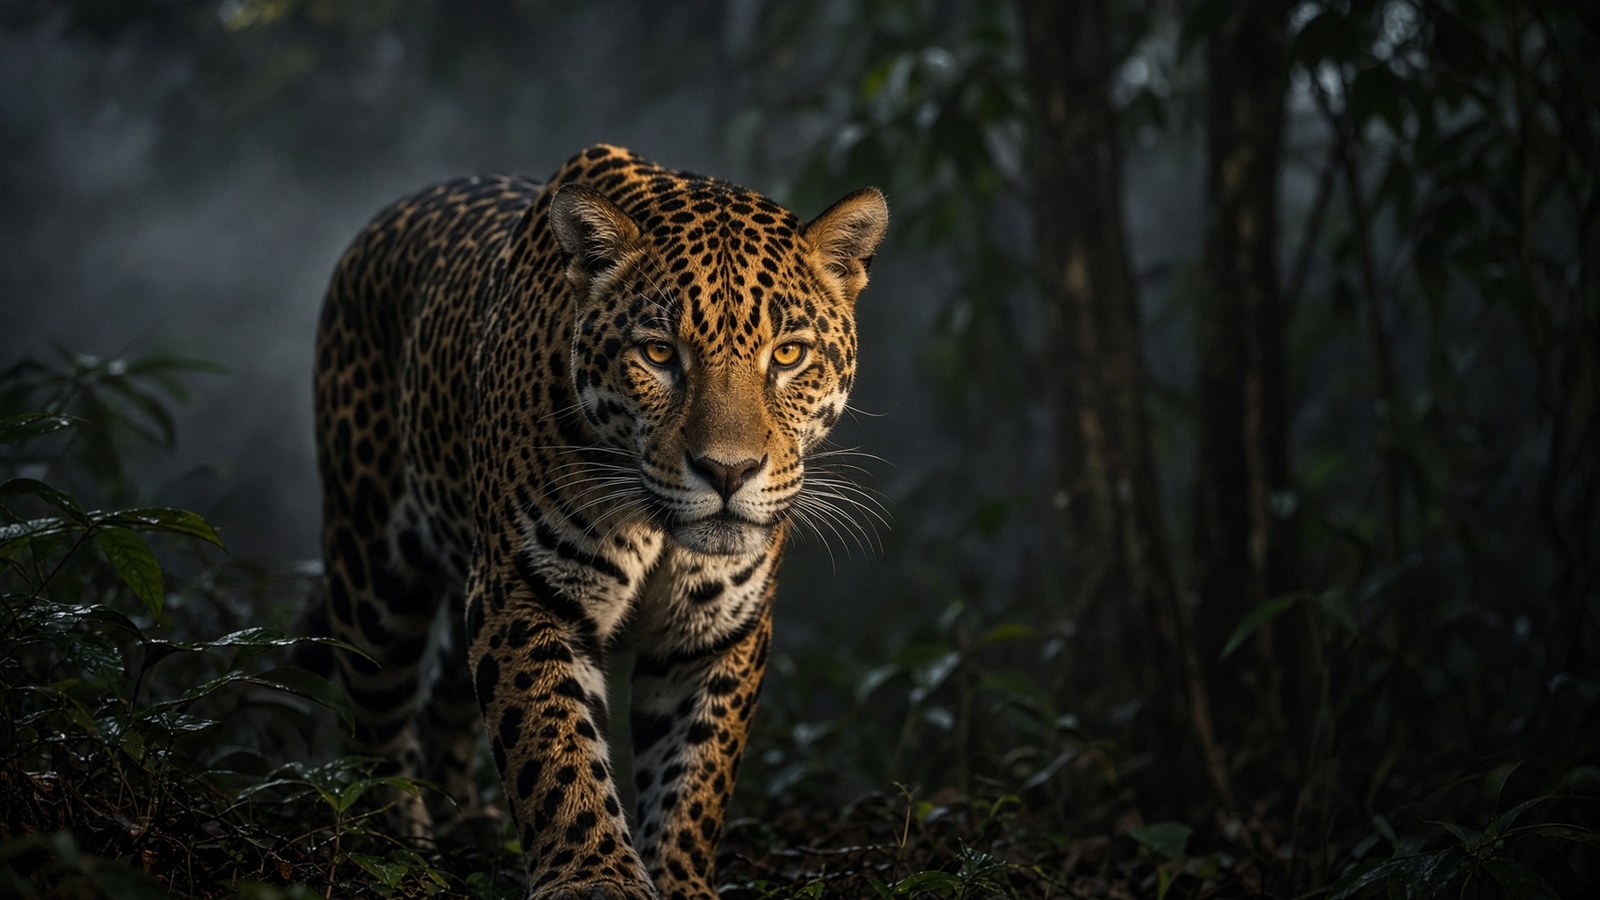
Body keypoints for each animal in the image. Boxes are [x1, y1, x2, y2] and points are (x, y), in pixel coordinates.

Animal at [312, 144, 887, 899]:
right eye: (659, 354)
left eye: (788, 354)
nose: (727, 472)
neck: (658, 530)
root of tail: (382, 221)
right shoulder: (527, 593)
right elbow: (552, 748)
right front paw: (594, 876)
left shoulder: (715, 629)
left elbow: (696, 770)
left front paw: (679, 880)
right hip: (373, 570)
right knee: (375, 714)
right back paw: (394, 847)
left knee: (443, 694)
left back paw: (465, 824)